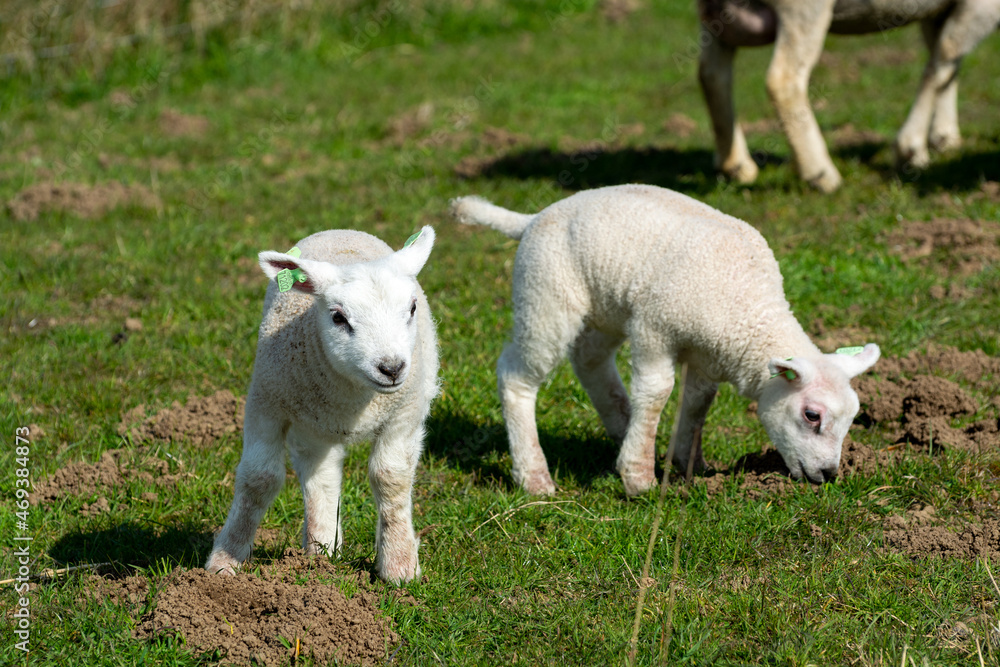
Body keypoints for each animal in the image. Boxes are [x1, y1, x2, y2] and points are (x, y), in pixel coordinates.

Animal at [204, 227, 438, 583]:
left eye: (412, 308)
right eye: (338, 317)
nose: (392, 367)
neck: (354, 396)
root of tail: (343, 231)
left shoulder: (405, 413)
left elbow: (391, 477)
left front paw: (399, 566)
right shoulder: (265, 404)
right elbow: (259, 478)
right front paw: (224, 562)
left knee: (322, 471)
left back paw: (322, 551)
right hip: (311, 418)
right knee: (320, 473)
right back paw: (321, 551)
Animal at [451, 184, 879, 496]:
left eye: (853, 417)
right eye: (812, 415)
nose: (829, 474)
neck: (749, 309)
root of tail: (534, 217)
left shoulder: (708, 356)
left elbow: (699, 403)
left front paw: (690, 464)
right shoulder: (654, 328)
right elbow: (657, 392)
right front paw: (639, 477)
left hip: (604, 307)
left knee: (589, 359)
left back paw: (623, 424)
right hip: (545, 297)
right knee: (516, 376)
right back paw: (535, 477)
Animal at [697, 0, 1000, 192]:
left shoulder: (938, 10)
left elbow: (946, 63)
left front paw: (944, 136)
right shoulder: (982, 5)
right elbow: (943, 61)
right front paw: (910, 150)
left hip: (718, 16)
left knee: (711, 74)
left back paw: (735, 165)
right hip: (801, 8)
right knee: (782, 80)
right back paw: (821, 174)